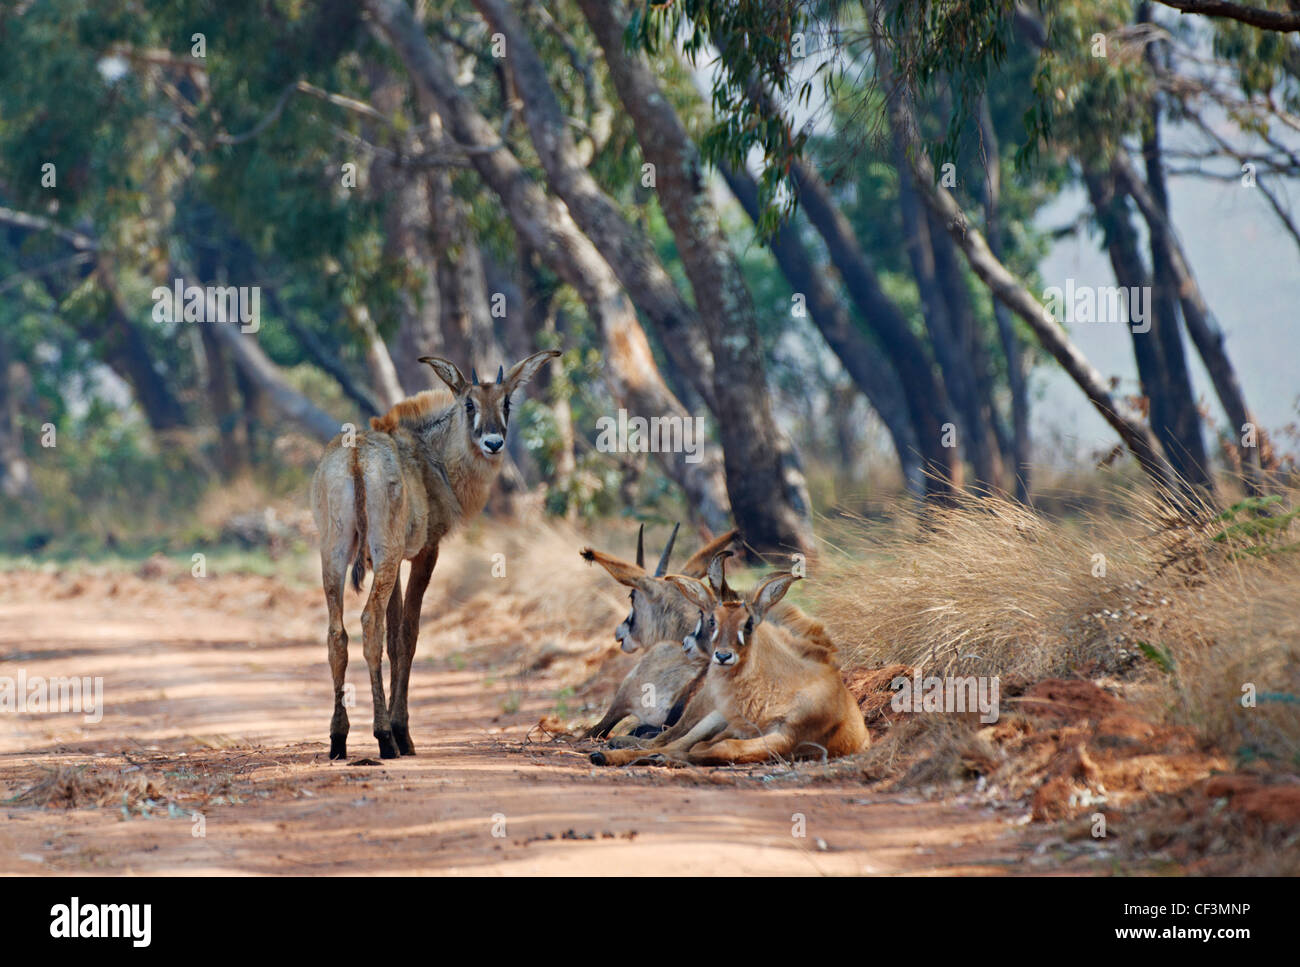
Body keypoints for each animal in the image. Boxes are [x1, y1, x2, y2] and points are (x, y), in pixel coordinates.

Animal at [315, 350, 564, 759]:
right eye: (469, 404)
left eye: (506, 402)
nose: (493, 443)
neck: (430, 451)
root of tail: (355, 459)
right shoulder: (424, 552)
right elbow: (408, 635)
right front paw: (402, 733)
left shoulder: (394, 560)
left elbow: (395, 639)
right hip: (382, 551)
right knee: (369, 623)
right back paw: (384, 737)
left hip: (335, 552)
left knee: (338, 634)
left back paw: (338, 738)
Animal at [595, 569, 868, 764]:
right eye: (712, 620)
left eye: (748, 624)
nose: (723, 656)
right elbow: (696, 744)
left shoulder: (785, 737)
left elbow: (722, 748)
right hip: (713, 716)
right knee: (673, 742)